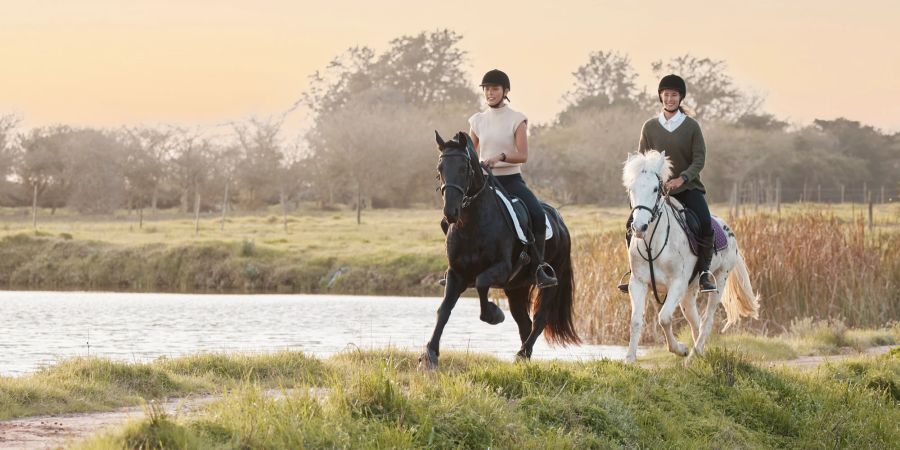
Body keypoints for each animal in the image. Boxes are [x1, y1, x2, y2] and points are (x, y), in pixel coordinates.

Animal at [418, 130, 580, 370]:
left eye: (464, 168)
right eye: (440, 169)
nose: (451, 212)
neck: (472, 224)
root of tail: (560, 220)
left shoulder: (502, 268)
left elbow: (482, 283)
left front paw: (494, 314)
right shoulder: (456, 273)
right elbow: (444, 310)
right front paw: (429, 354)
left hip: (550, 282)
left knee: (539, 319)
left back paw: (522, 353)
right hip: (517, 288)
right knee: (525, 323)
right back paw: (524, 357)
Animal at [624, 149, 760, 364]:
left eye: (655, 189)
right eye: (632, 189)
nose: (639, 227)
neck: (653, 245)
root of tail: (728, 228)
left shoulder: (677, 284)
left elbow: (664, 318)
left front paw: (680, 349)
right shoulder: (638, 283)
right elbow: (636, 321)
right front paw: (629, 359)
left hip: (719, 279)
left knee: (707, 319)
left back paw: (692, 356)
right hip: (689, 291)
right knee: (694, 319)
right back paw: (699, 355)